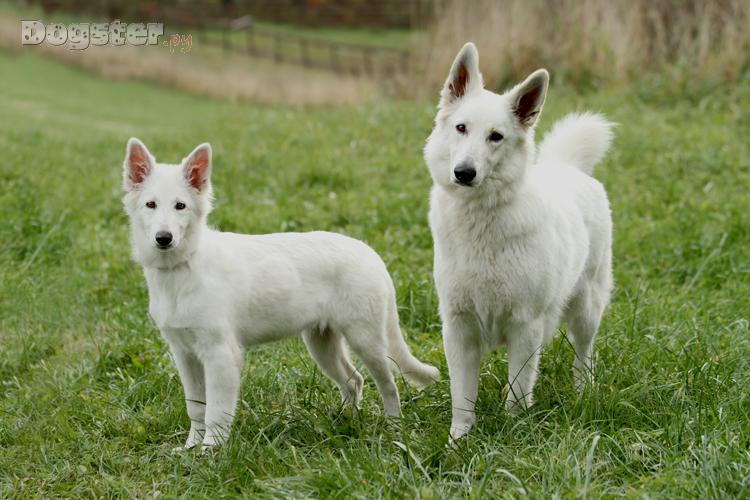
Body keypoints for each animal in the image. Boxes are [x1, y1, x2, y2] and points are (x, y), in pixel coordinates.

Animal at [122, 138, 439, 450]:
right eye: (150, 204)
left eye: (180, 206)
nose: (164, 239)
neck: (184, 267)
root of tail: (371, 253)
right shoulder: (185, 354)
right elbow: (196, 407)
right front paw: (190, 448)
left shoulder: (221, 354)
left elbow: (216, 412)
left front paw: (211, 451)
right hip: (322, 344)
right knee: (354, 380)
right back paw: (346, 423)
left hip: (367, 340)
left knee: (389, 385)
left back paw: (394, 430)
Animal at [424, 43, 614, 441]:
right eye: (461, 128)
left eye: (495, 136)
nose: (464, 173)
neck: (481, 220)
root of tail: (566, 166)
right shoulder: (459, 327)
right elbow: (462, 397)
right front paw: (458, 441)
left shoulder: (525, 326)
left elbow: (516, 390)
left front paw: (513, 434)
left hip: (587, 308)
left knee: (584, 355)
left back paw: (583, 392)